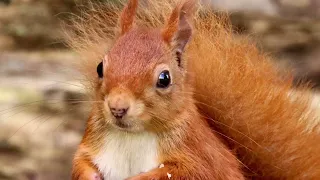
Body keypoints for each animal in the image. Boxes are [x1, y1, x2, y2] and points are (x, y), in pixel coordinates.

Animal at [70, 0, 244, 180]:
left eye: (164, 78)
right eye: (99, 68)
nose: (117, 108)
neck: (132, 135)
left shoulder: (199, 156)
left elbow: (191, 172)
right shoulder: (91, 142)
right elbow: (80, 162)